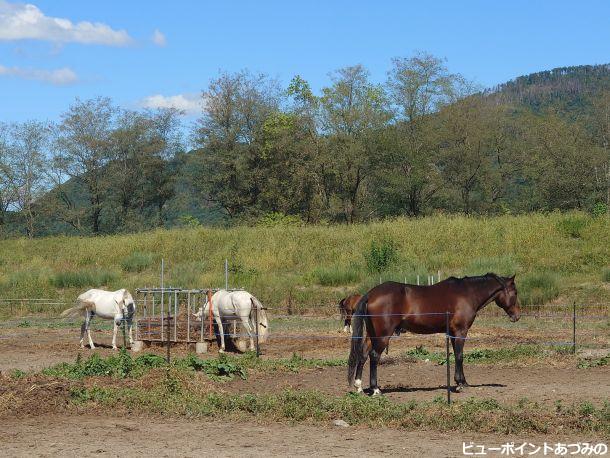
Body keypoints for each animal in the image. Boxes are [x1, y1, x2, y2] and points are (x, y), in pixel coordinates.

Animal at [346, 274, 516, 396]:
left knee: (363, 355)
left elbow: (456, 355)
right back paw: (375, 389)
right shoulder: (460, 331)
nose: (517, 315)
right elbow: (460, 356)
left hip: (372, 335)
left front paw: (461, 382)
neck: (467, 293)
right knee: (374, 356)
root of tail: (370, 294)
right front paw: (461, 385)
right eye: (515, 292)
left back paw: (359, 386)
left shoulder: (452, 333)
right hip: (382, 336)